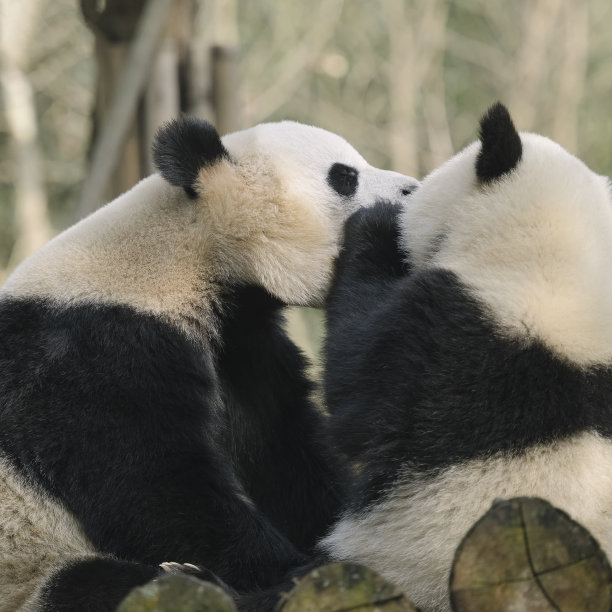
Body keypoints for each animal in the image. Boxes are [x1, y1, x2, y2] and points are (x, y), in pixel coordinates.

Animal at [0, 116, 418, 612]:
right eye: (344, 176)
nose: (414, 189)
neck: (190, 249)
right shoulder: (90, 350)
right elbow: (151, 482)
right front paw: (288, 568)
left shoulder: (240, 347)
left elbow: (281, 448)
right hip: (27, 568)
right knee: (90, 585)